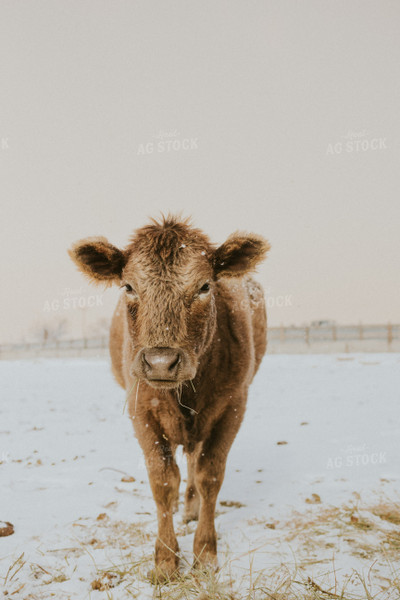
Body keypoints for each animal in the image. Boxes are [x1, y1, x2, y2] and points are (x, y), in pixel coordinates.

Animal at [69, 214, 270, 580]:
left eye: (205, 286)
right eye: (128, 287)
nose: (161, 361)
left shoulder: (234, 405)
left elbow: (209, 476)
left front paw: (204, 552)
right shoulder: (141, 411)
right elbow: (162, 481)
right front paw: (165, 560)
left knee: (194, 461)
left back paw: (190, 506)